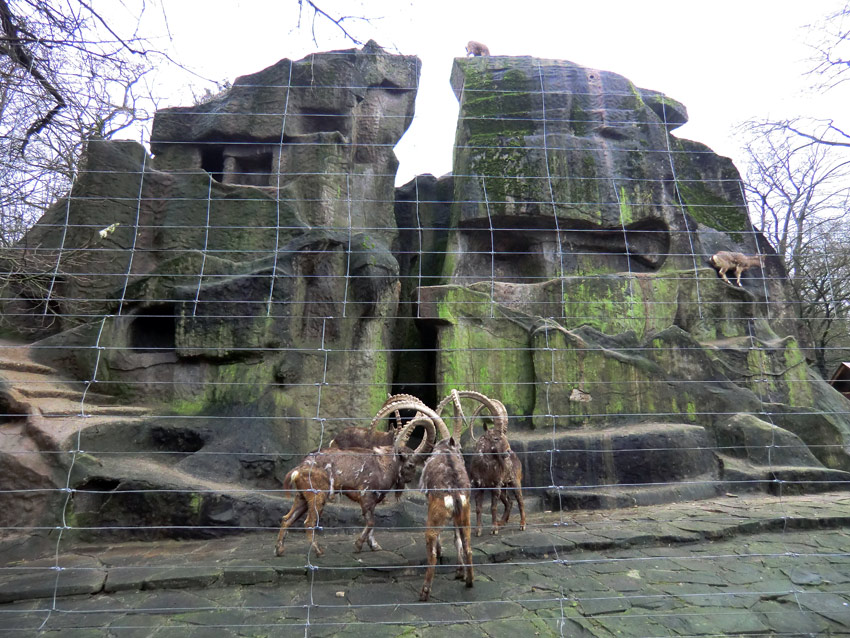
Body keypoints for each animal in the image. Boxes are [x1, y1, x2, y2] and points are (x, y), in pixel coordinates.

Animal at [416, 438, 470, 604]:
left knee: (432, 552)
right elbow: (457, 539)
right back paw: (469, 581)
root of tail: (454, 492)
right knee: (467, 545)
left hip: (434, 518)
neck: (445, 450)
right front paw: (460, 571)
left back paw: (424, 592)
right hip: (465, 513)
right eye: (460, 448)